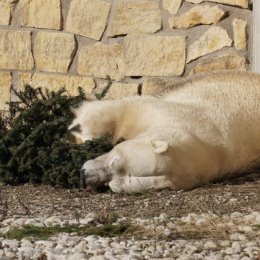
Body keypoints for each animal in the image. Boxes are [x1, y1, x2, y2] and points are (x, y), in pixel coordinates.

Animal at [68, 70, 260, 192]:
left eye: (114, 184)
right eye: (115, 160)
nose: (84, 175)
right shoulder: (176, 112)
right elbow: (120, 110)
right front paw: (76, 128)